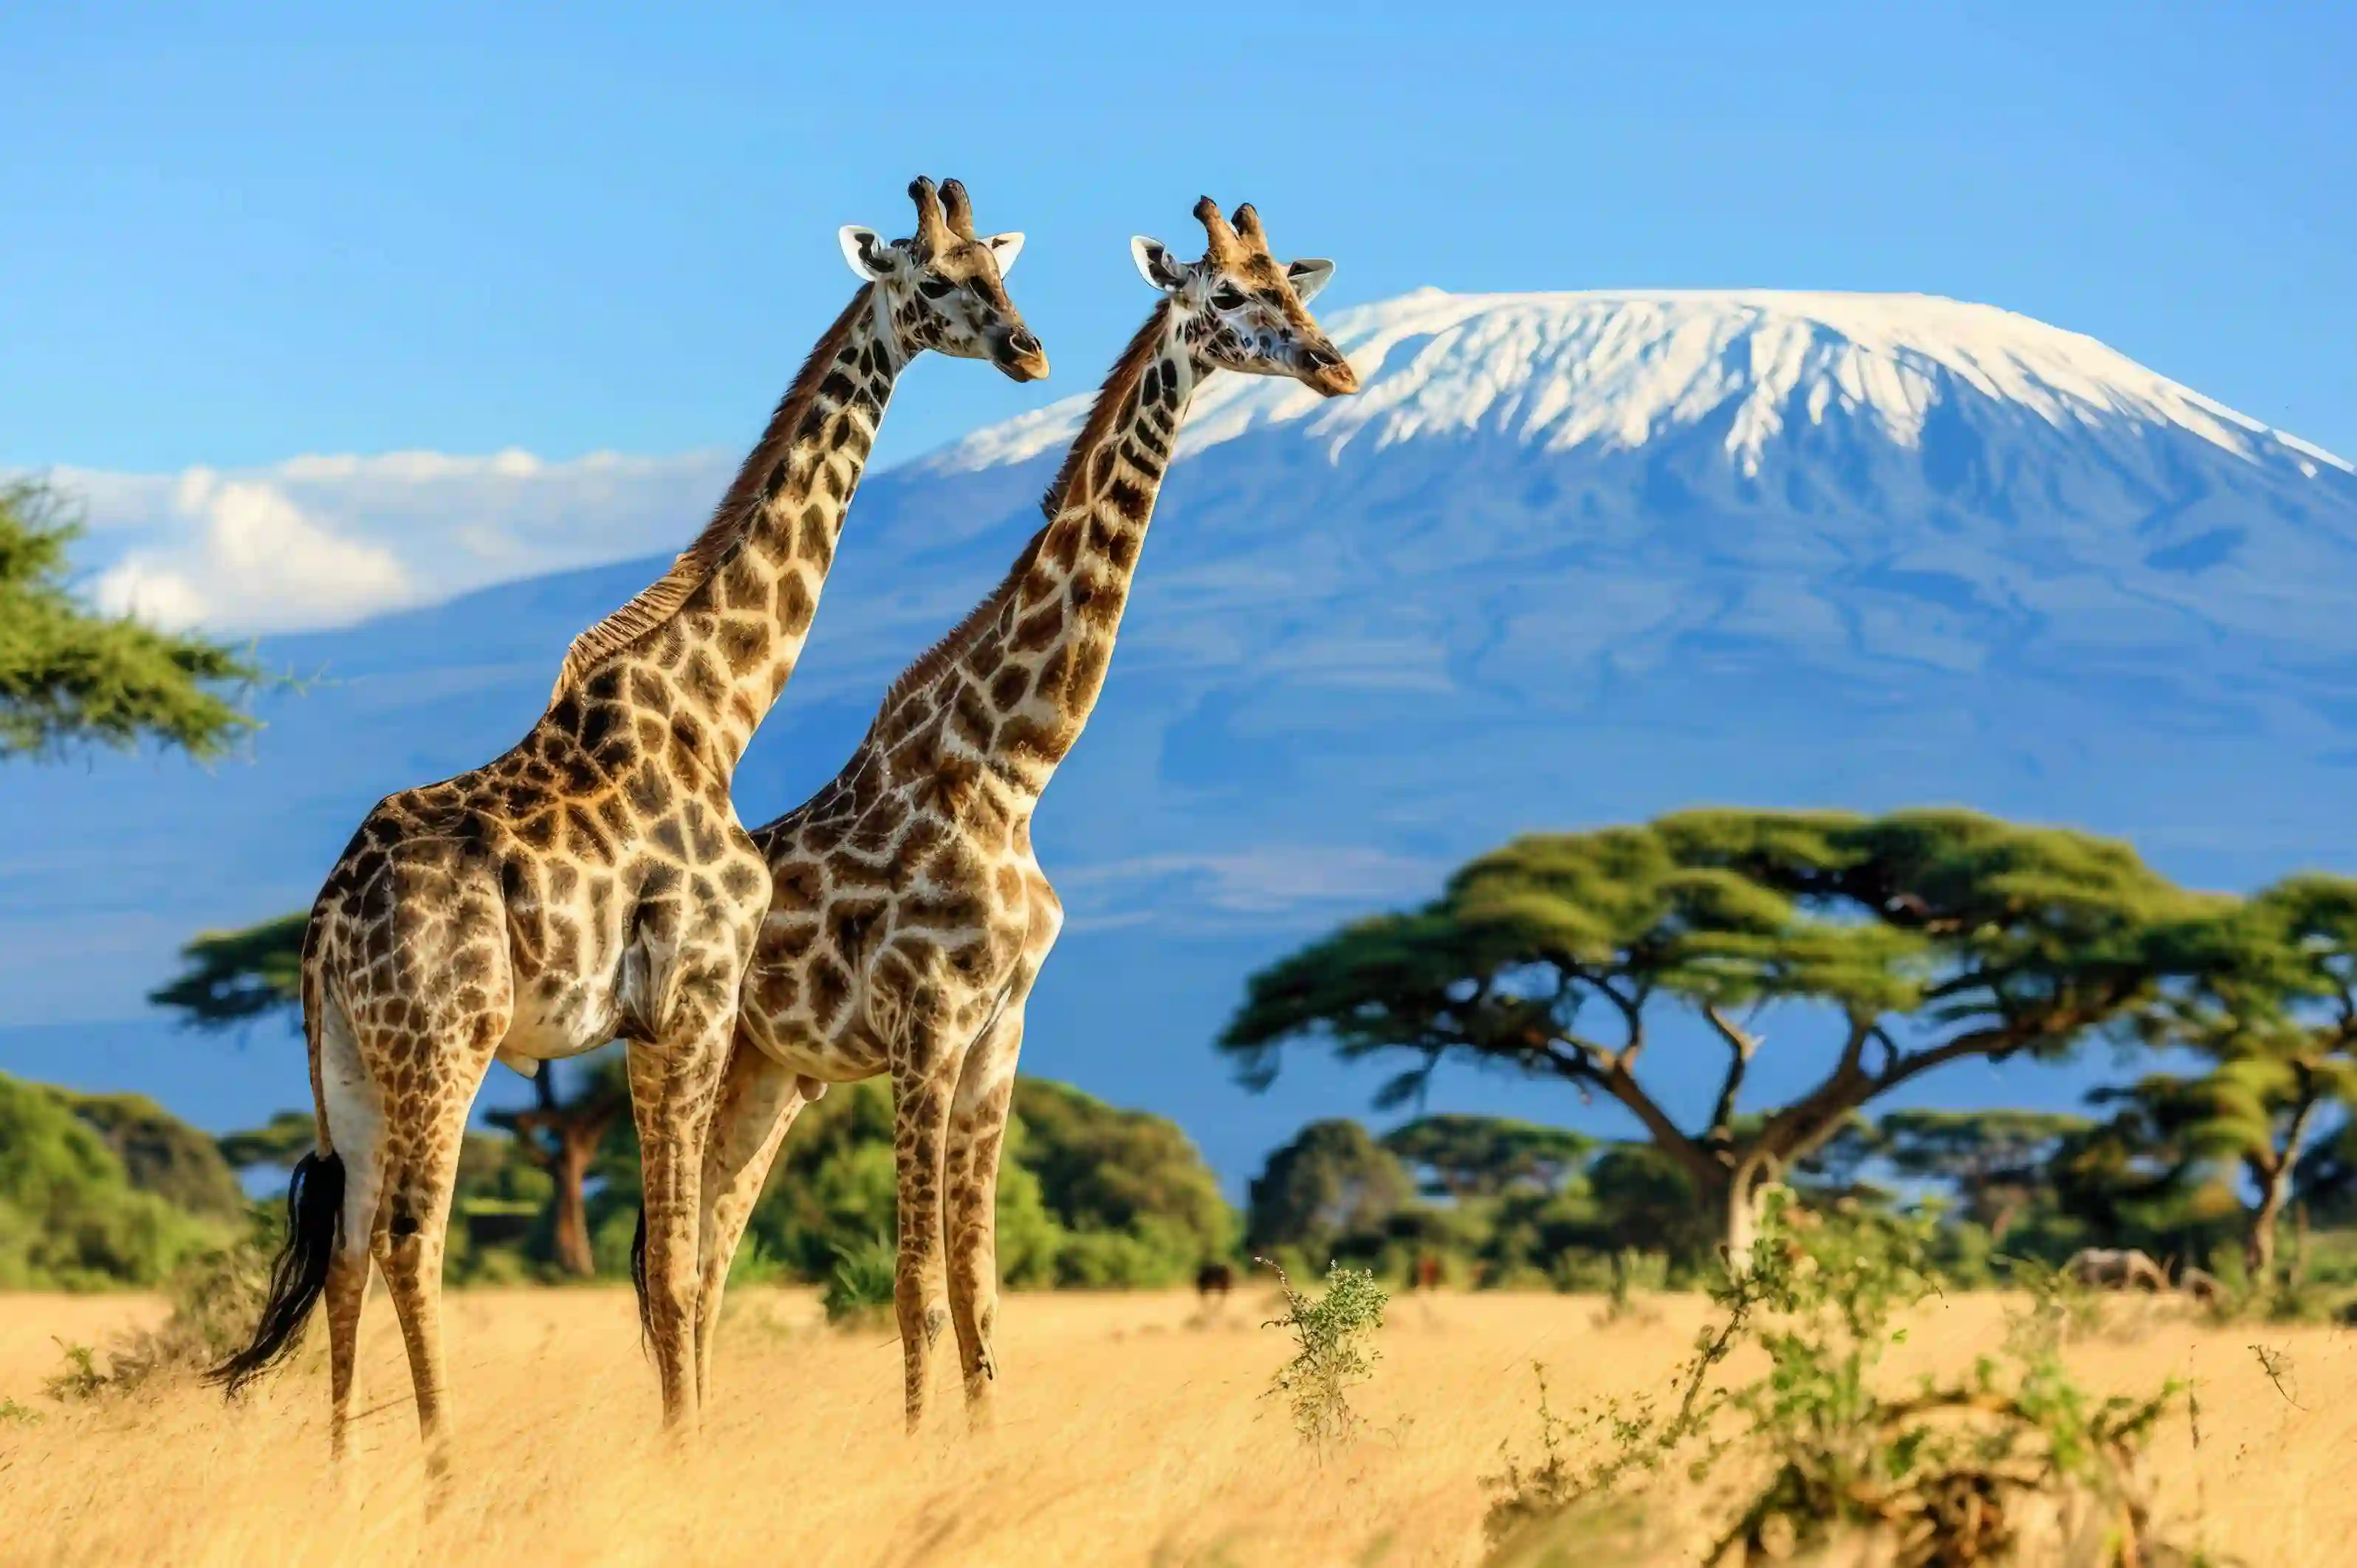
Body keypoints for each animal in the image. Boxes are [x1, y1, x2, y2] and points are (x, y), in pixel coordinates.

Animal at [208, 177, 1047, 1473]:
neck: (718, 708)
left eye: (999, 270)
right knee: (409, 1240)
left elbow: (671, 1266)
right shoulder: (691, 1001)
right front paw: (683, 1460)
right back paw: (442, 1471)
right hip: (447, 1042)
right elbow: (676, 1270)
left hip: (345, 1054)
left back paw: (345, 1477)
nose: (1027, 349)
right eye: (934, 279)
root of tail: (325, 924)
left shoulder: (657, 1021)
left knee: (343, 1246)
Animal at [692, 198, 1356, 1430]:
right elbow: (915, 1287)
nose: (1337, 367)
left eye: (1299, 291)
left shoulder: (1000, 1033)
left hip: (777, 1073)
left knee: (702, 1259)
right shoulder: (924, 1027)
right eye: (1227, 295)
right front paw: (919, 1461)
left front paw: (980, 1452)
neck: (1010, 772)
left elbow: (982, 1295)